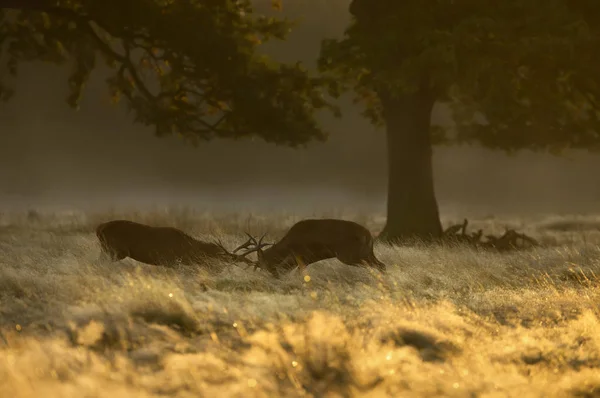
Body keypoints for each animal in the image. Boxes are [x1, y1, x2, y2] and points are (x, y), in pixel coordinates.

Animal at [232, 219, 386, 278]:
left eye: (264, 262)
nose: (273, 276)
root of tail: (368, 235)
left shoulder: (302, 255)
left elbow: (299, 272)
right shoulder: (304, 259)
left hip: (350, 254)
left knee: (375, 265)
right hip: (367, 252)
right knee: (381, 264)